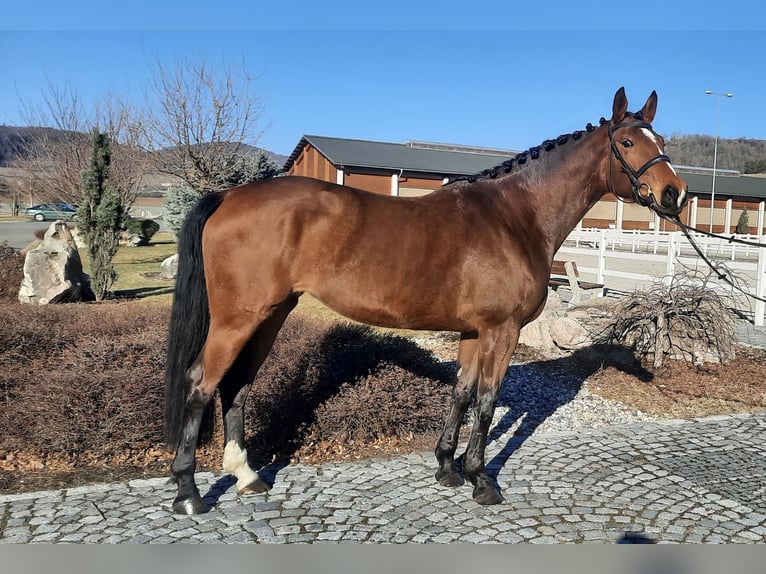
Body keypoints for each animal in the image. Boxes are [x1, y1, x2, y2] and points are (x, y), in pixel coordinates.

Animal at [166, 88, 688, 516]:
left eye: (661, 139)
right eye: (627, 143)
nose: (674, 194)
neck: (514, 217)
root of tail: (229, 195)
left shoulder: (474, 330)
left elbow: (461, 392)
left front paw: (446, 467)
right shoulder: (502, 329)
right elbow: (486, 400)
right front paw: (481, 480)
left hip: (271, 315)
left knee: (238, 385)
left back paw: (246, 476)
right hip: (237, 320)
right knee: (200, 383)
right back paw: (189, 494)